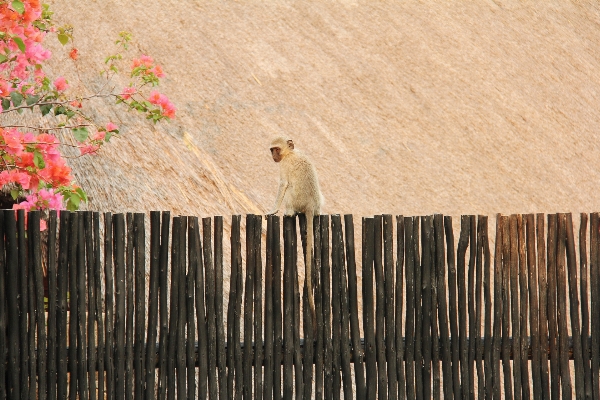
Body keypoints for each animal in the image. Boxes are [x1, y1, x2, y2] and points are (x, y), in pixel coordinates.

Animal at [268, 138, 324, 332]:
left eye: (276, 149)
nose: (274, 156)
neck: (290, 153)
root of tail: (310, 206)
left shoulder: (284, 166)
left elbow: (283, 184)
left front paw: (273, 210)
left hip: (295, 199)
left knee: (289, 190)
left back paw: (289, 213)